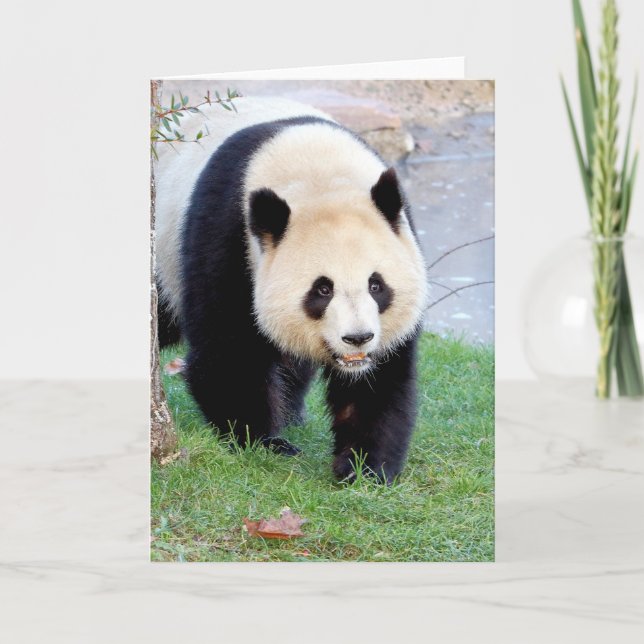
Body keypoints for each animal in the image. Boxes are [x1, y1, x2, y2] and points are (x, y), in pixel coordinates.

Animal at [155, 96, 428, 483]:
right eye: (322, 290)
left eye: (376, 285)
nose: (357, 338)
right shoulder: (229, 236)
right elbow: (228, 351)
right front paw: (262, 442)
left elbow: (380, 379)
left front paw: (363, 467)